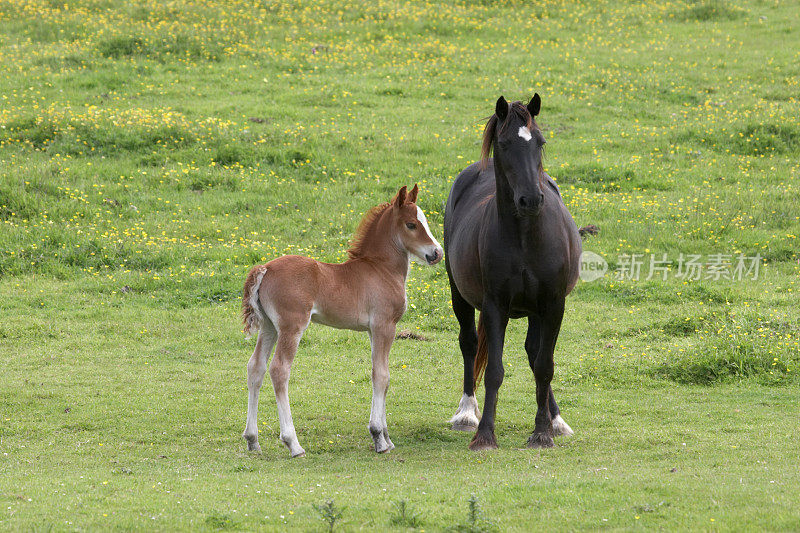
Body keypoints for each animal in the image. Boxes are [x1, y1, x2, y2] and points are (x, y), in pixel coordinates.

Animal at [242, 184, 444, 458]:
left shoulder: (372, 330)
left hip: (269, 327)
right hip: (292, 327)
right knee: (279, 370)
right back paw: (293, 443)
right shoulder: (385, 326)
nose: (436, 253)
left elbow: (382, 375)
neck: (380, 269)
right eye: (411, 224)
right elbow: (381, 375)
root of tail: (265, 268)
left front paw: (387, 437)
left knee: (256, 368)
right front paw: (379, 438)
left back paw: (252, 440)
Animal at [444, 94, 580, 448]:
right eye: (504, 144)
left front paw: (543, 431)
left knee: (535, 354)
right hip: (459, 293)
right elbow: (494, 370)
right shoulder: (495, 305)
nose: (531, 199)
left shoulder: (553, 304)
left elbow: (544, 365)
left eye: (540, 142)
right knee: (469, 342)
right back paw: (467, 413)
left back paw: (555, 418)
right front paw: (485, 434)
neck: (525, 236)